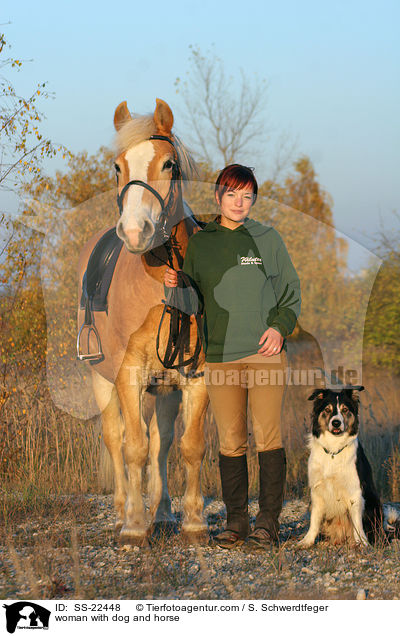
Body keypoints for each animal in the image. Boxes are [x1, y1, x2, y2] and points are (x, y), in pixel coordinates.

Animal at [77, 99, 209, 548]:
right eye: (118, 167)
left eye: (168, 164)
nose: (136, 232)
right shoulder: (128, 375)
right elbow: (132, 447)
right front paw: (135, 526)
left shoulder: (195, 377)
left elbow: (187, 447)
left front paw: (193, 522)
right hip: (101, 381)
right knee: (116, 439)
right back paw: (124, 512)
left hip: (164, 389)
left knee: (161, 443)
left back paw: (163, 512)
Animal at [298, 386, 398, 548]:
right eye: (327, 409)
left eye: (345, 410)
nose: (336, 423)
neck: (333, 450)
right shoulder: (317, 490)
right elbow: (314, 520)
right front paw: (307, 541)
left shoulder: (355, 492)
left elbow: (357, 523)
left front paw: (362, 543)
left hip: (373, 503)